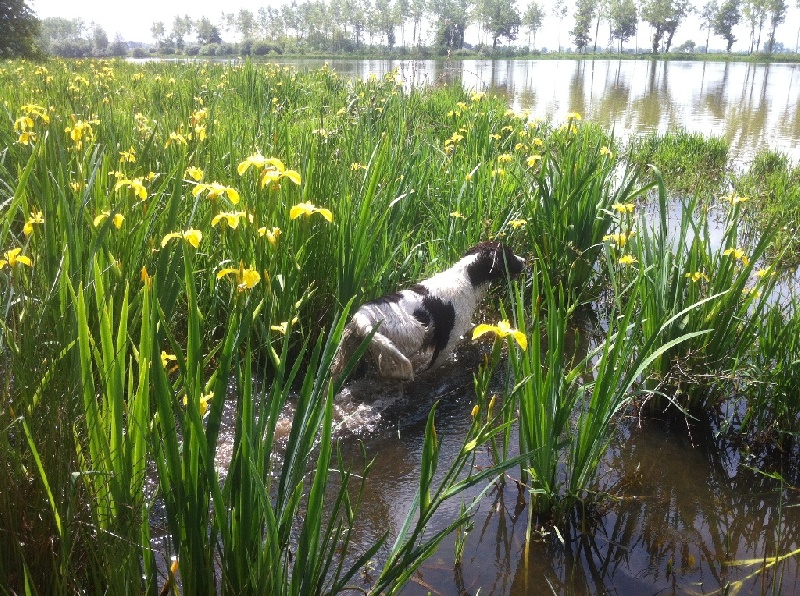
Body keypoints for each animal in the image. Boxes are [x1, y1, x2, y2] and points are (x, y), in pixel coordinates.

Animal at [332, 242, 524, 382]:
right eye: (509, 254)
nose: (524, 260)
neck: (467, 278)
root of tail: (363, 316)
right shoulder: (448, 338)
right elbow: (433, 364)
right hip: (411, 335)